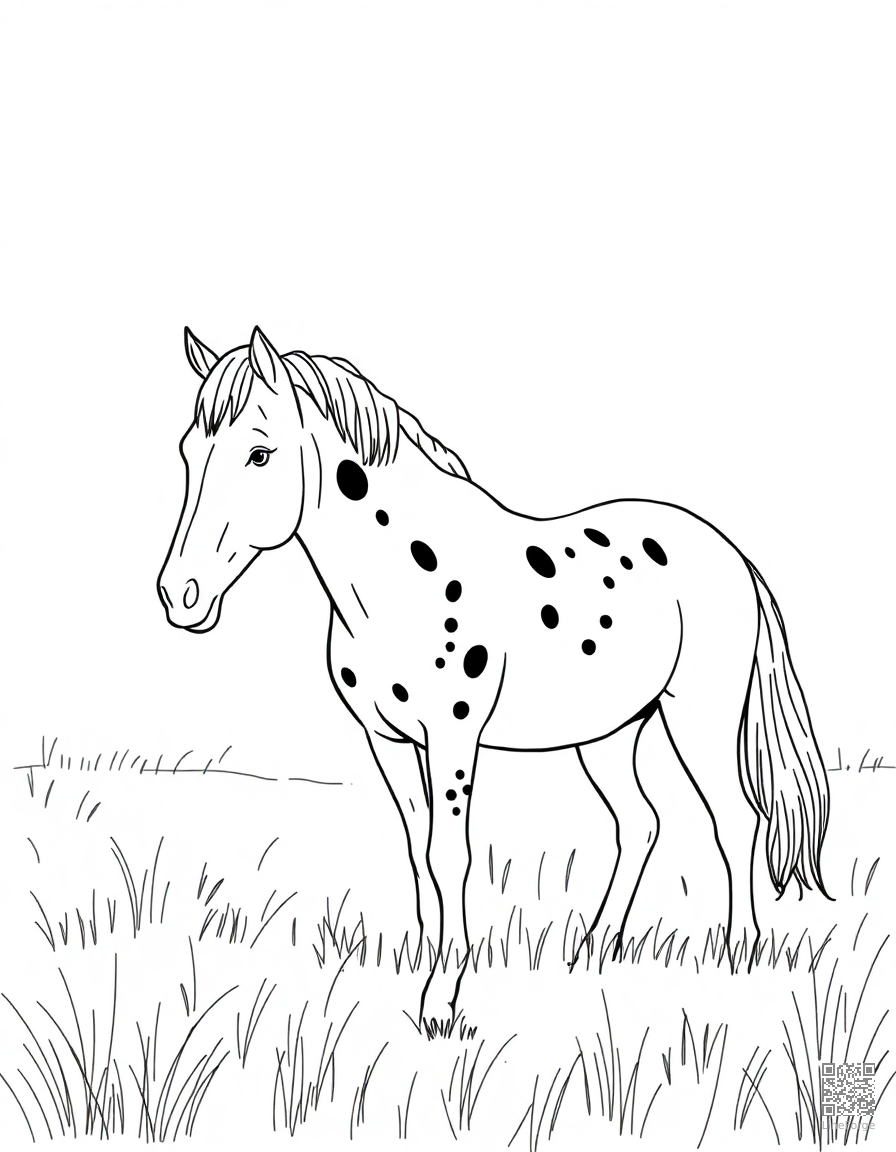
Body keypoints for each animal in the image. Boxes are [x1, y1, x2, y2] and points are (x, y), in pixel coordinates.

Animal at [158, 325, 831, 1035]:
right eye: (187, 452)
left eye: (259, 454)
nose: (179, 595)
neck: (400, 578)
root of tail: (732, 553)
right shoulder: (388, 740)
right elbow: (417, 850)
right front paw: (425, 969)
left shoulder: (453, 737)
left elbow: (450, 855)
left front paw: (442, 1002)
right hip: (609, 731)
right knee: (640, 823)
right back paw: (591, 955)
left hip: (700, 714)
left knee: (736, 819)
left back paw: (740, 958)